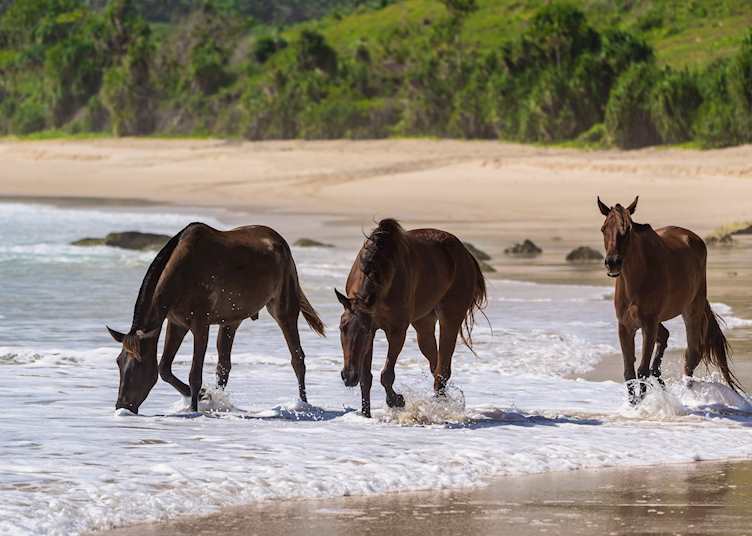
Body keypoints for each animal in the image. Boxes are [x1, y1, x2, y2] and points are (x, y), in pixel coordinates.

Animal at [107, 222, 325, 414]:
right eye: (118, 362)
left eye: (138, 365)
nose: (121, 406)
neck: (182, 272)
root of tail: (281, 242)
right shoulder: (176, 324)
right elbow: (164, 369)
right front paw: (204, 395)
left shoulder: (200, 325)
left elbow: (195, 374)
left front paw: (194, 408)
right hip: (231, 322)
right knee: (224, 366)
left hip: (283, 309)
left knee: (297, 358)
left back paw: (304, 405)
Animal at [335, 218, 487, 418]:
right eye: (341, 328)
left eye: (363, 332)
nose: (348, 376)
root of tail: (466, 254)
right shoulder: (373, 329)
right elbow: (366, 378)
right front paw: (366, 414)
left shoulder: (395, 331)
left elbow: (387, 375)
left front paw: (397, 400)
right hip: (424, 323)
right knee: (435, 365)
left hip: (450, 318)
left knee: (442, 369)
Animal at [597, 196, 742, 403]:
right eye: (604, 229)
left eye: (627, 230)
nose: (612, 263)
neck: (636, 280)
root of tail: (692, 237)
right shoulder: (625, 326)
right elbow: (629, 372)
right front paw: (634, 405)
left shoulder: (648, 325)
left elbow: (641, 371)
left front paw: (642, 404)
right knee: (665, 338)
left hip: (692, 310)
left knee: (691, 356)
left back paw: (687, 394)